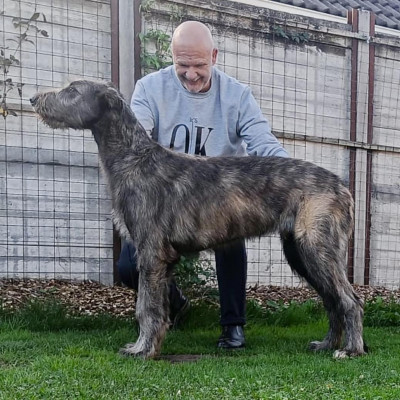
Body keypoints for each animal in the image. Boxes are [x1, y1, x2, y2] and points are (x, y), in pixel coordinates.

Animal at [30, 80, 368, 360]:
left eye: (73, 90)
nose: (33, 99)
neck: (134, 159)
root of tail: (342, 186)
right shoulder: (159, 257)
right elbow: (154, 304)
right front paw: (151, 342)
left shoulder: (151, 252)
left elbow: (145, 307)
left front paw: (143, 350)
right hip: (300, 252)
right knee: (332, 301)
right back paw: (327, 344)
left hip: (317, 248)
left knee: (349, 300)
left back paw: (350, 350)